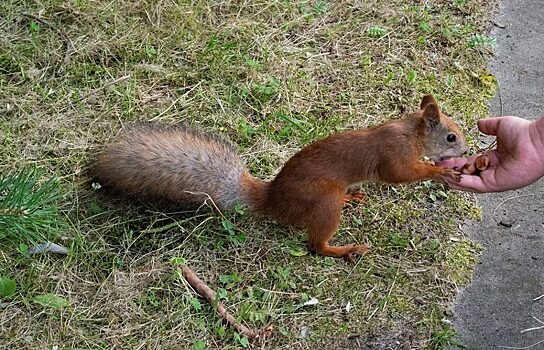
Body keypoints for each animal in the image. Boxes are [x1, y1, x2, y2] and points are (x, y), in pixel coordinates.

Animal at [94, 95, 468, 260]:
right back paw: (346, 248)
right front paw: (441, 171)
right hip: (324, 201)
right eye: (451, 137)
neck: (410, 132)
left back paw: (352, 198)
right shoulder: (392, 155)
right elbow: (400, 174)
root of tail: (272, 199)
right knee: (316, 246)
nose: (465, 151)